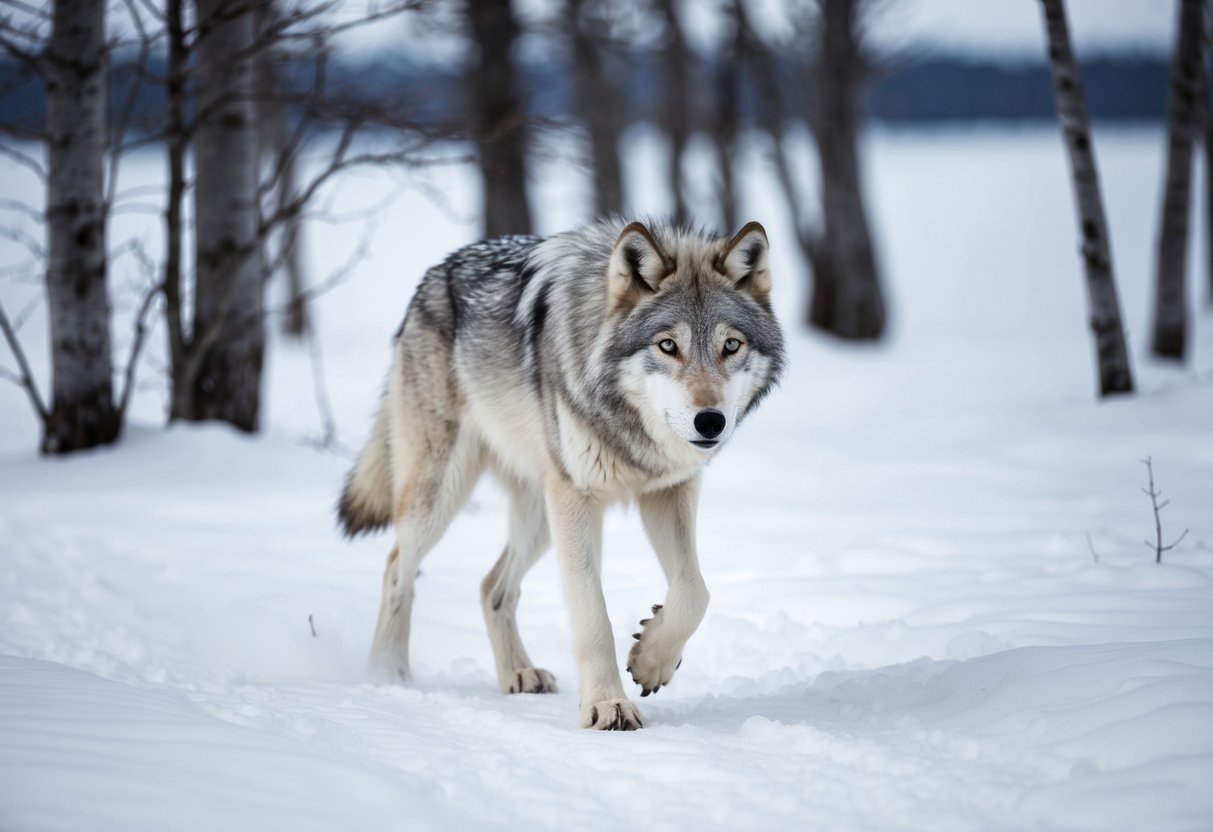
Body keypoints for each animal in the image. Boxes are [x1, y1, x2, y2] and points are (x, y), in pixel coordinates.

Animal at [338, 218, 784, 730]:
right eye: (668, 346)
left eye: (731, 345)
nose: (710, 422)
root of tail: (433, 274)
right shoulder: (577, 499)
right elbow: (593, 615)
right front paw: (607, 705)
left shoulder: (666, 491)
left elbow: (695, 591)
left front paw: (652, 660)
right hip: (444, 494)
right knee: (398, 569)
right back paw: (387, 673)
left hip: (539, 516)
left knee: (492, 587)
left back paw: (518, 673)